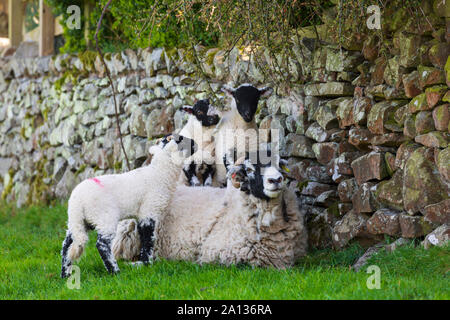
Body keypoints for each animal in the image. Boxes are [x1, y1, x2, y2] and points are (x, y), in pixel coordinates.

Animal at [60, 134, 197, 276]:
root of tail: (76, 201)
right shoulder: (149, 210)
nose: (196, 144)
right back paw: (115, 271)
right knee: (101, 244)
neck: (160, 173)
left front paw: (143, 262)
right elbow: (148, 238)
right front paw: (147, 263)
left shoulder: (141, 214)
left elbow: (142, 235)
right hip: (105, 217)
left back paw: (65, 273)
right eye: (182, 139)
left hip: (79, 221)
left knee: (66, 245)